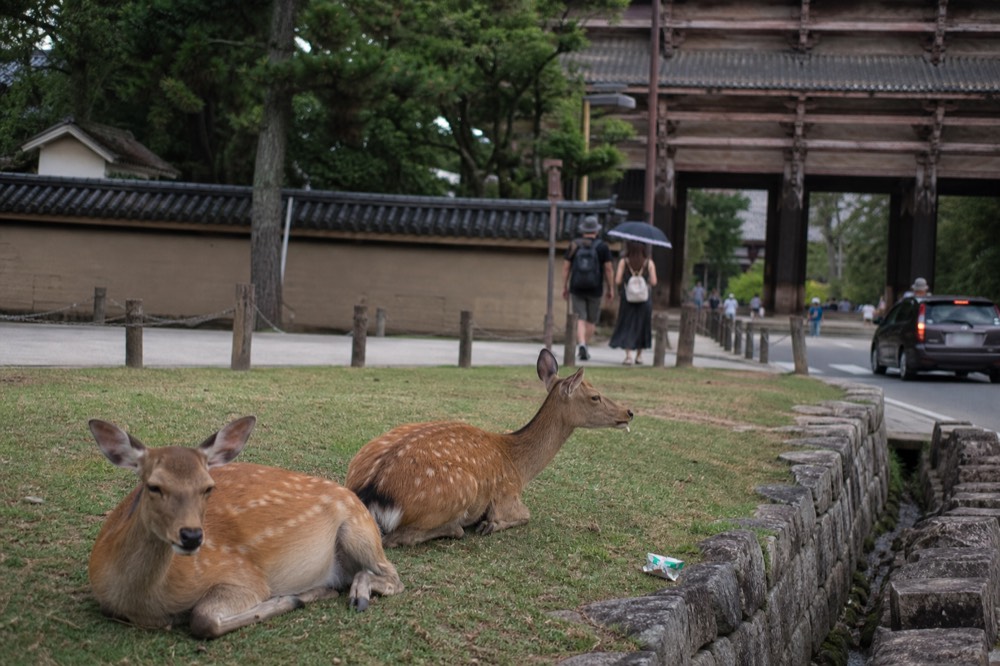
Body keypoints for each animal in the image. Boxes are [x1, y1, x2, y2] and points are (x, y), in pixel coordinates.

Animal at [87, 415, 403, 639]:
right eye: (153, 486)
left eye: (208, 487)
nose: (191, 536)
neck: (142, 602)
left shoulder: (244, 575)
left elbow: (202, 619)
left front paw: (295, 598)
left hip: (358, 531)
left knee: (393, 577)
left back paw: (356, 595)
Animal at [345, 348, 633, 547]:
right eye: (595, 396)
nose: (628, 412)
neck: (520, 466)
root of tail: (371, 492)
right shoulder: (508, 495)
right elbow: (526, 514)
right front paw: (491, 524)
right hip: (464, 488)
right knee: (398, 537)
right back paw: (459, 527)